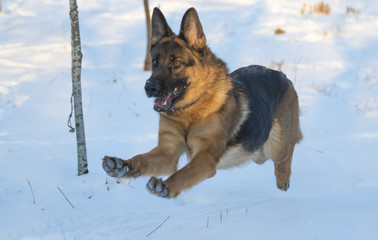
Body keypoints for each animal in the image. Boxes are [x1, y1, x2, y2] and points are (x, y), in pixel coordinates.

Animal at [102, 7, 302, 199]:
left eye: (176, 63)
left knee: (288, 150)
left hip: (276, 146)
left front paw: (166, 186)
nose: (149, 87)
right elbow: (142, 158)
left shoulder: (205, 157)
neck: (189, 112)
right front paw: (122, 165)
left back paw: (283, 177)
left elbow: (184, 173)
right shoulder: (167, 152)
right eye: (155, 61)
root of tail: (282, 75)